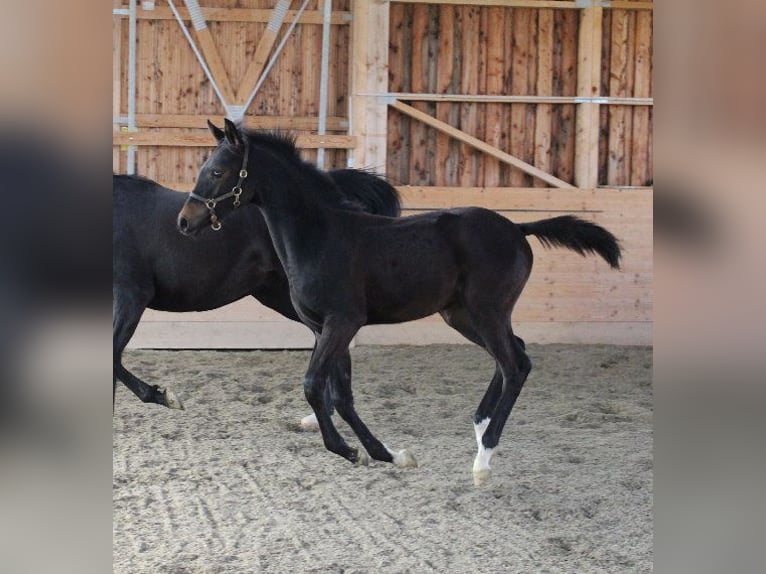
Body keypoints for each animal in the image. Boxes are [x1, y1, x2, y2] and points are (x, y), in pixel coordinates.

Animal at [177, 121, 620, 486]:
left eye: (217, 172)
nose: (184, 221)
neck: (320, 235)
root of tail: (516, 228)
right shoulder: (326, 328)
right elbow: (342, 396)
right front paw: (387, 454)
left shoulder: (343, 322)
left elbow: (314, 386)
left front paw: (350, 451)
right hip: (462, 315)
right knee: (513, 355)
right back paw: (480, 428)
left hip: (487, 311)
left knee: (516, 364)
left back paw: (484, 459)